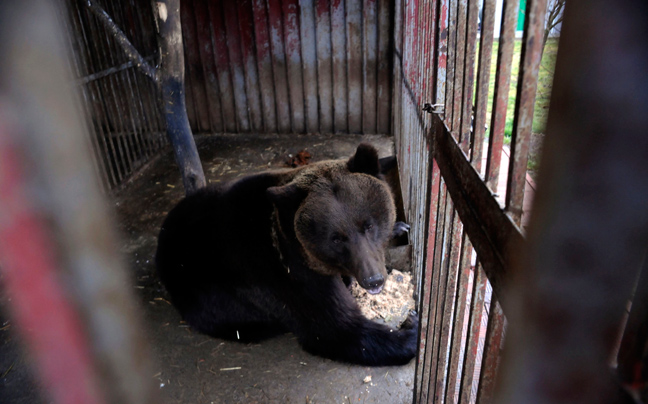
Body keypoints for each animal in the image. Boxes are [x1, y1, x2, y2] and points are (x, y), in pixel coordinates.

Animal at [155, 143, 419, 366]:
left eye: (369, 225)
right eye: (336, 238)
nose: (373, 279)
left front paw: (399, 227)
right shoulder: (287, 274)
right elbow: (336, 329)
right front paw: (413, 329)